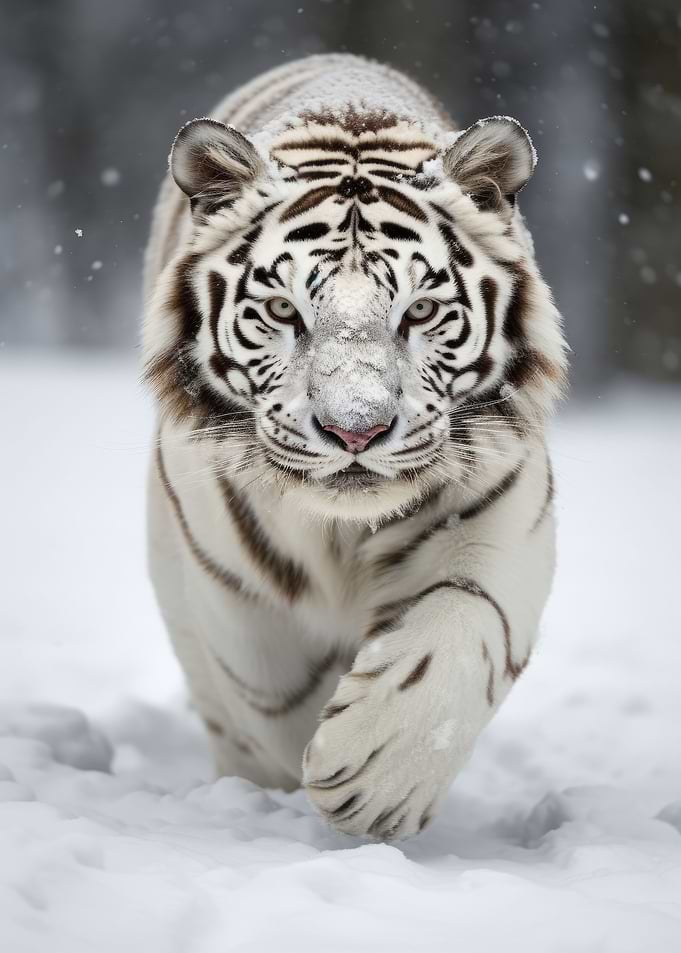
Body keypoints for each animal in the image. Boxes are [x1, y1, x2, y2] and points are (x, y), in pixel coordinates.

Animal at [143, 53, 568, 841]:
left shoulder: (502, 511)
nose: (356, 430)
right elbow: (275, 703)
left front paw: (372, 778)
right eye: (282, 310)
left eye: (421, 310)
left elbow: (460, 629)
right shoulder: (233, 584)